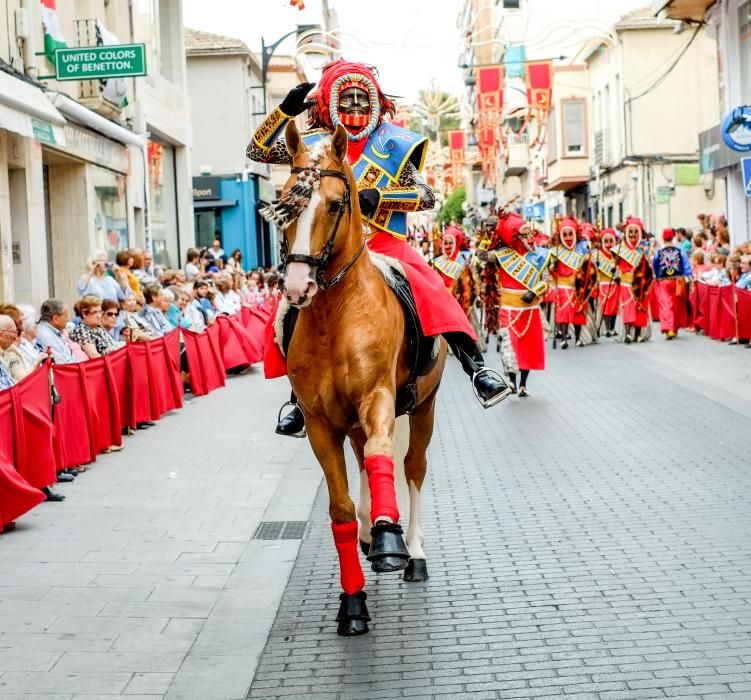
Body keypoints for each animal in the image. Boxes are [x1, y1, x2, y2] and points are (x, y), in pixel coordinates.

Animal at [274, 120, 446, 636]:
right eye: (285, 202)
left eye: (336, 203)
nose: (297, 286)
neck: (336, 316)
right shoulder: (320, 424)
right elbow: (341, 509)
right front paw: (353, 603)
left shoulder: (379, 398)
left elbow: (383, 455)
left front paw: (392, 539)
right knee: (367, 463)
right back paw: (372, 532)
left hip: (424, 406)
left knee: (410, 466)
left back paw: (411, 550)